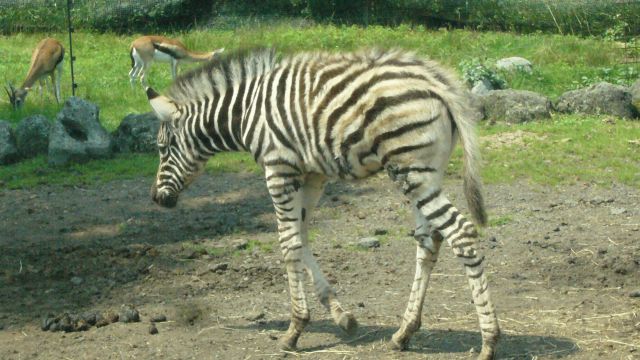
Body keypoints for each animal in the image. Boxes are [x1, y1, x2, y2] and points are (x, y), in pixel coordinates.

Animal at [144, 47, 500, 358]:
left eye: (162, 148)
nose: (156, 199)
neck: (245, 113)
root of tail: (437, 81)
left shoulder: (279, 168)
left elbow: (288, 244)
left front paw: (294, 329)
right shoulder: (312, 174)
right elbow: (301, 237)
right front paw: (342, 316)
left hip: (413, 170)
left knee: (462, 234)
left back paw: (489, 341)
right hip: (423, 173)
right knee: (429, 241)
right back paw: (404, 333)